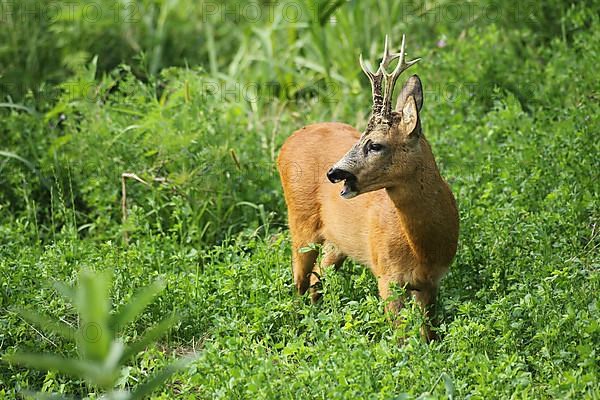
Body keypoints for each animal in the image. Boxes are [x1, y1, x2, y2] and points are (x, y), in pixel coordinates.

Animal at [276, 35, 460, 340]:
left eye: (374, 144)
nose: (333, 173)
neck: (423, 248)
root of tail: (288, 141)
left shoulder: (431, 282)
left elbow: (428, 334)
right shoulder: (387, 276)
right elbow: (401, 337)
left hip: (337, 242)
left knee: (318, 276)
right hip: (300, 222)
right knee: (298, 281)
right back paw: (296, 330)